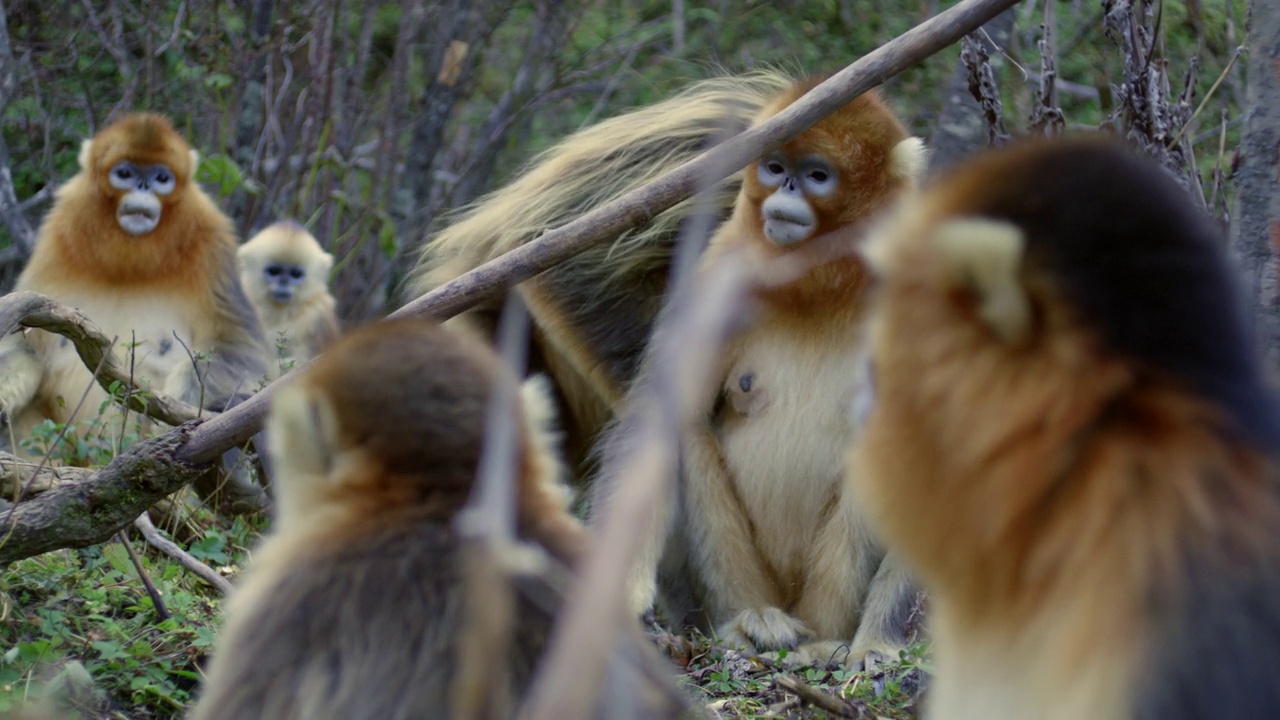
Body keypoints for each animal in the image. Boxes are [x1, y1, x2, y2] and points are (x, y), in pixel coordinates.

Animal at [593, 83, 926, 666]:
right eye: (775, 166)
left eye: (816, 174)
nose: (785, 186)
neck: (823, 286)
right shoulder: (720, 270)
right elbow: (657, 415)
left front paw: (879, 643)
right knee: (686, 435)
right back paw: (750, 625)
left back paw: (826, 643)